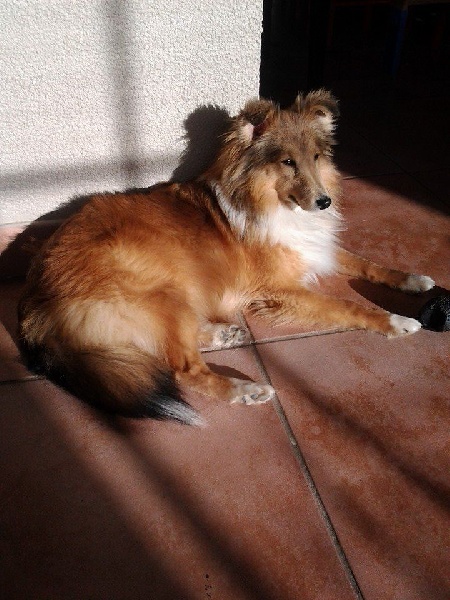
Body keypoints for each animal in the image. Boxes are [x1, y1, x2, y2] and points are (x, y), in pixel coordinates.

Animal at [18, 90, 435, 424]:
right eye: (287, 162)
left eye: (316, 157)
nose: (324, 202)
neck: (270, 201)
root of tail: (35, 302)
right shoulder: (279, 290)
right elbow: (346, 306)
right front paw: (396, 321)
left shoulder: (317, 250)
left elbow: (367, 263)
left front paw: (413, 280)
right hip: (164, 291)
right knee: (183, 369)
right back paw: (244, 390)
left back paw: (223, 333)